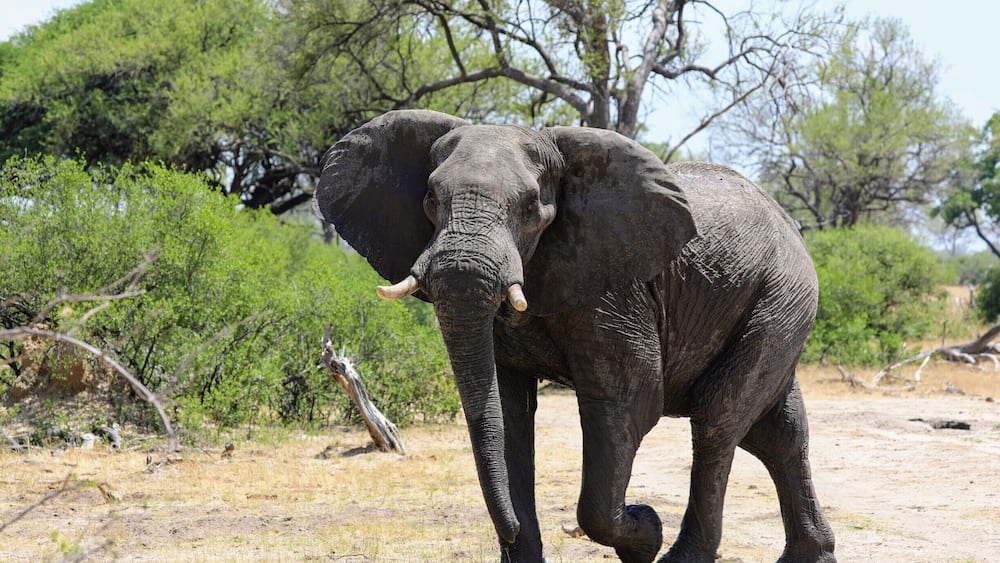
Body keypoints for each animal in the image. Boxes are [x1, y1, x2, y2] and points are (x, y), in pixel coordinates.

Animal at [313, 109, 836, 563]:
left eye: (531, 207)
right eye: (430, 201)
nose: (509, 534)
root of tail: (790, 224)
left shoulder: (616, 289)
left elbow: (628, 401)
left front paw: (644, 533)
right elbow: (507, 412)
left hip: (782, 296)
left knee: (719, 416)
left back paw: (680, 556)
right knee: (776, 431)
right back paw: (810, 555)